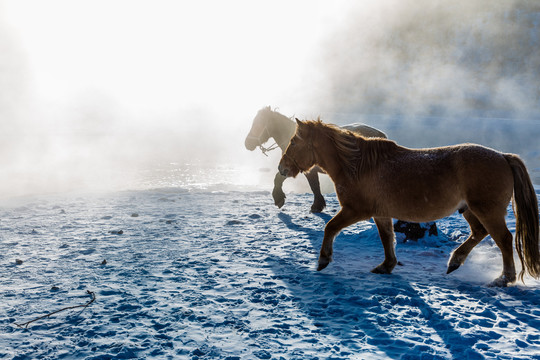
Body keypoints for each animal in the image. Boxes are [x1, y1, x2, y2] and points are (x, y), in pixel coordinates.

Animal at [245, 107, 388, 214]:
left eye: (257, 124)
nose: (247, 143)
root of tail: (381, 135)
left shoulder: (302, 169)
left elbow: (312, 186)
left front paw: (280, 199)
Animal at [278, 119, 540, 286]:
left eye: (294, 142)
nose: (282, 168)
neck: (358, 166)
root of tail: (503, 156)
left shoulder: (355, 210)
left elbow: (330, 227)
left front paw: (323, 260)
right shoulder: (380, 213)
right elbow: (387, 239)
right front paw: (386, 266)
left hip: (487, 210)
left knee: (503, 239)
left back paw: (503, 279)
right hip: (470, 210)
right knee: (479, 232)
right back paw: (455, 261)